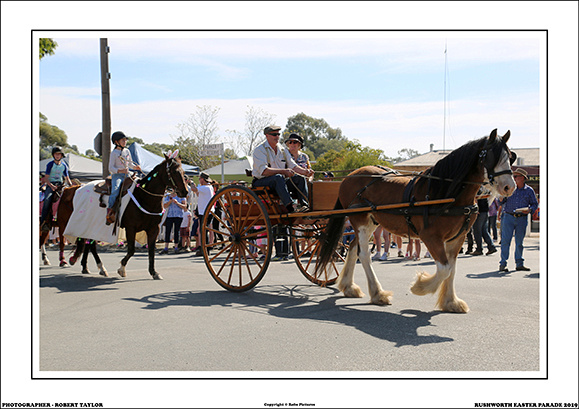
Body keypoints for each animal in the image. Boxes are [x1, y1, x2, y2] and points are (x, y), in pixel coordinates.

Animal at [318, 129, 516, 310]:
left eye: (510, 157)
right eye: (492, 157)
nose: (510, 187)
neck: (447, 194)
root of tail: (350, 176)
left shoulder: (457, 238)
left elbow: (452, 269)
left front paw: (450, 302)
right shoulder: (430, 237)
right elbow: (444, 269)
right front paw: (420, 286)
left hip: (369, 223)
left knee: (353, 249)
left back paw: (349, 287)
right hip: (360, 222)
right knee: (364, 254)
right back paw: (378, 293)